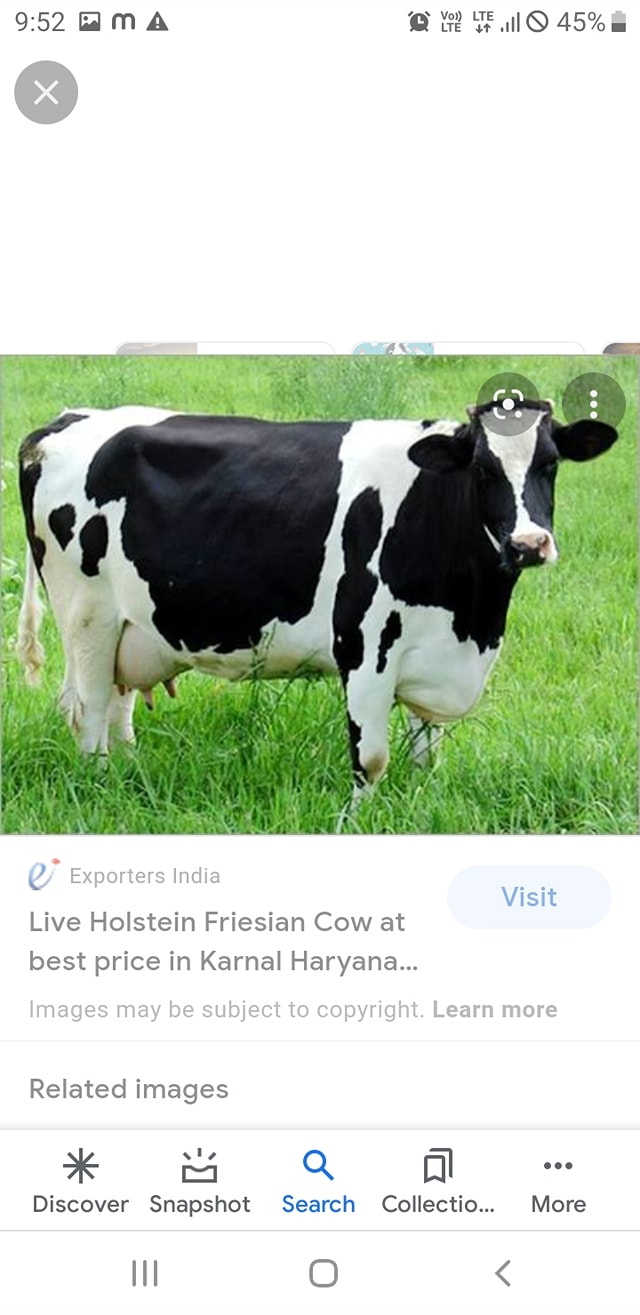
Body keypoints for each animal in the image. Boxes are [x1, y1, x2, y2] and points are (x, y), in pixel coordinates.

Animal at [17, 400, 617, 796]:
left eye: (550, 463)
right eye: (483, 468)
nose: (529, 544)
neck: (473, 618)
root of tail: (63, 422)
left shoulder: (434, 652)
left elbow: (427, 753)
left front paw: (422, 807)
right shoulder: (366, 646)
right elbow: (371, 759)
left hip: (131, 625)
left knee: (116, 708)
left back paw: (130, 775)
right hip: (87, 616)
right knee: (88, 712)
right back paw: (101, 787)